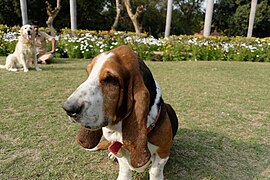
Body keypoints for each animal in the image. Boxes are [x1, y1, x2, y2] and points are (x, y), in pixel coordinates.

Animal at [62, 45, 178, 180]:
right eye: (88, 73)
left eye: (110, 79)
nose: (68, 108)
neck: (118, 130)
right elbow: (124, 167)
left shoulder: (162, 153)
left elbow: (155, 171)